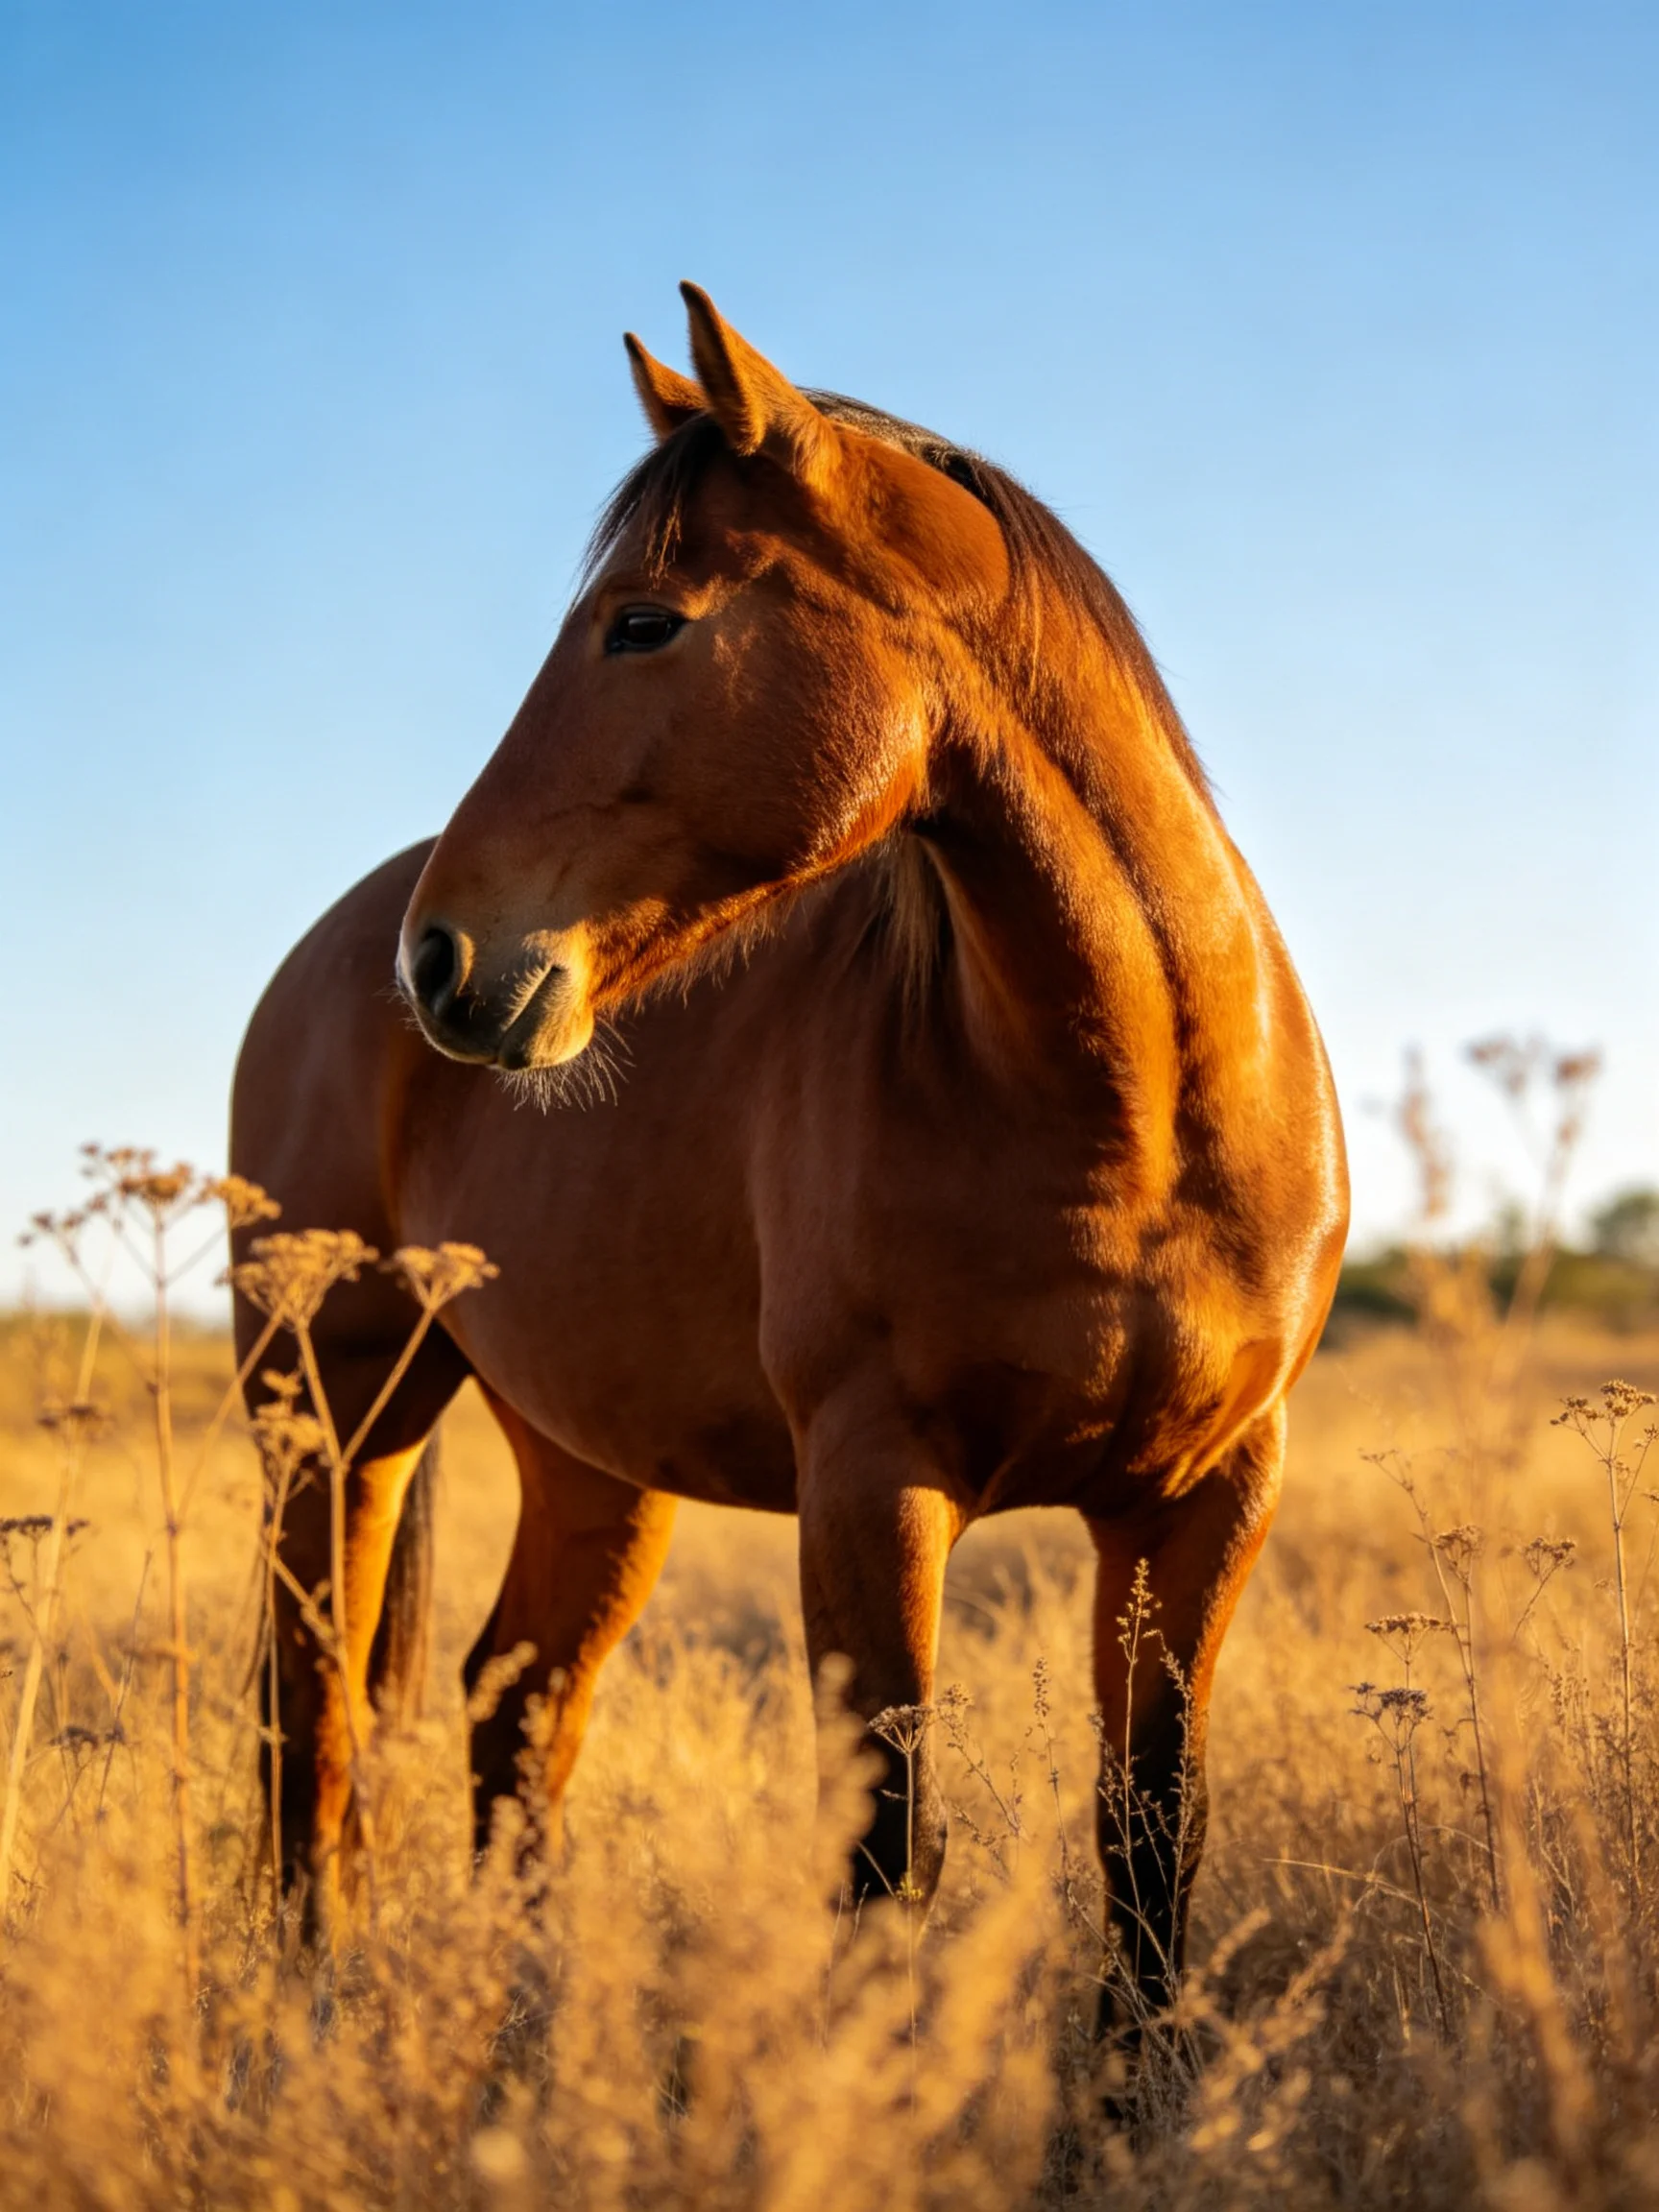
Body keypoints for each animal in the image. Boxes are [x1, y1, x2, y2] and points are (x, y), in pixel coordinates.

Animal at [231, 285, 1349, 2037]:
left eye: (643, 622)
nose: (444, 957)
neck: (1133, 1112)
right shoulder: (873, 1484)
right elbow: (891, 1848)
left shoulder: (1204, 1498)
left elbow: (1148, 1836)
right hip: (334, 1418)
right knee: (314, 1705)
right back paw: (316, 2002)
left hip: (589, 1466)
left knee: (512, 1709)